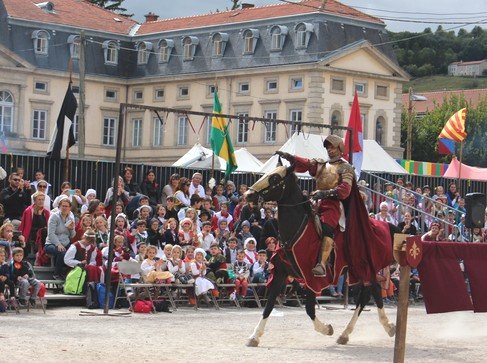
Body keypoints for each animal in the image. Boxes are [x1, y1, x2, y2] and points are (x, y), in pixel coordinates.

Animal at [246, 164, 398, 346]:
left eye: (275, 178)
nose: (248, 194)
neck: (297, 231)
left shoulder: (312, 278)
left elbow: (309, 309)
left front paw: (327, 329)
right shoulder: (280, 274)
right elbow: (269, 306)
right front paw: (254, 336)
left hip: (364, 267)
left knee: (372, 291)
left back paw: (384, 327)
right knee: (368, 293)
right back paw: (349, 333)